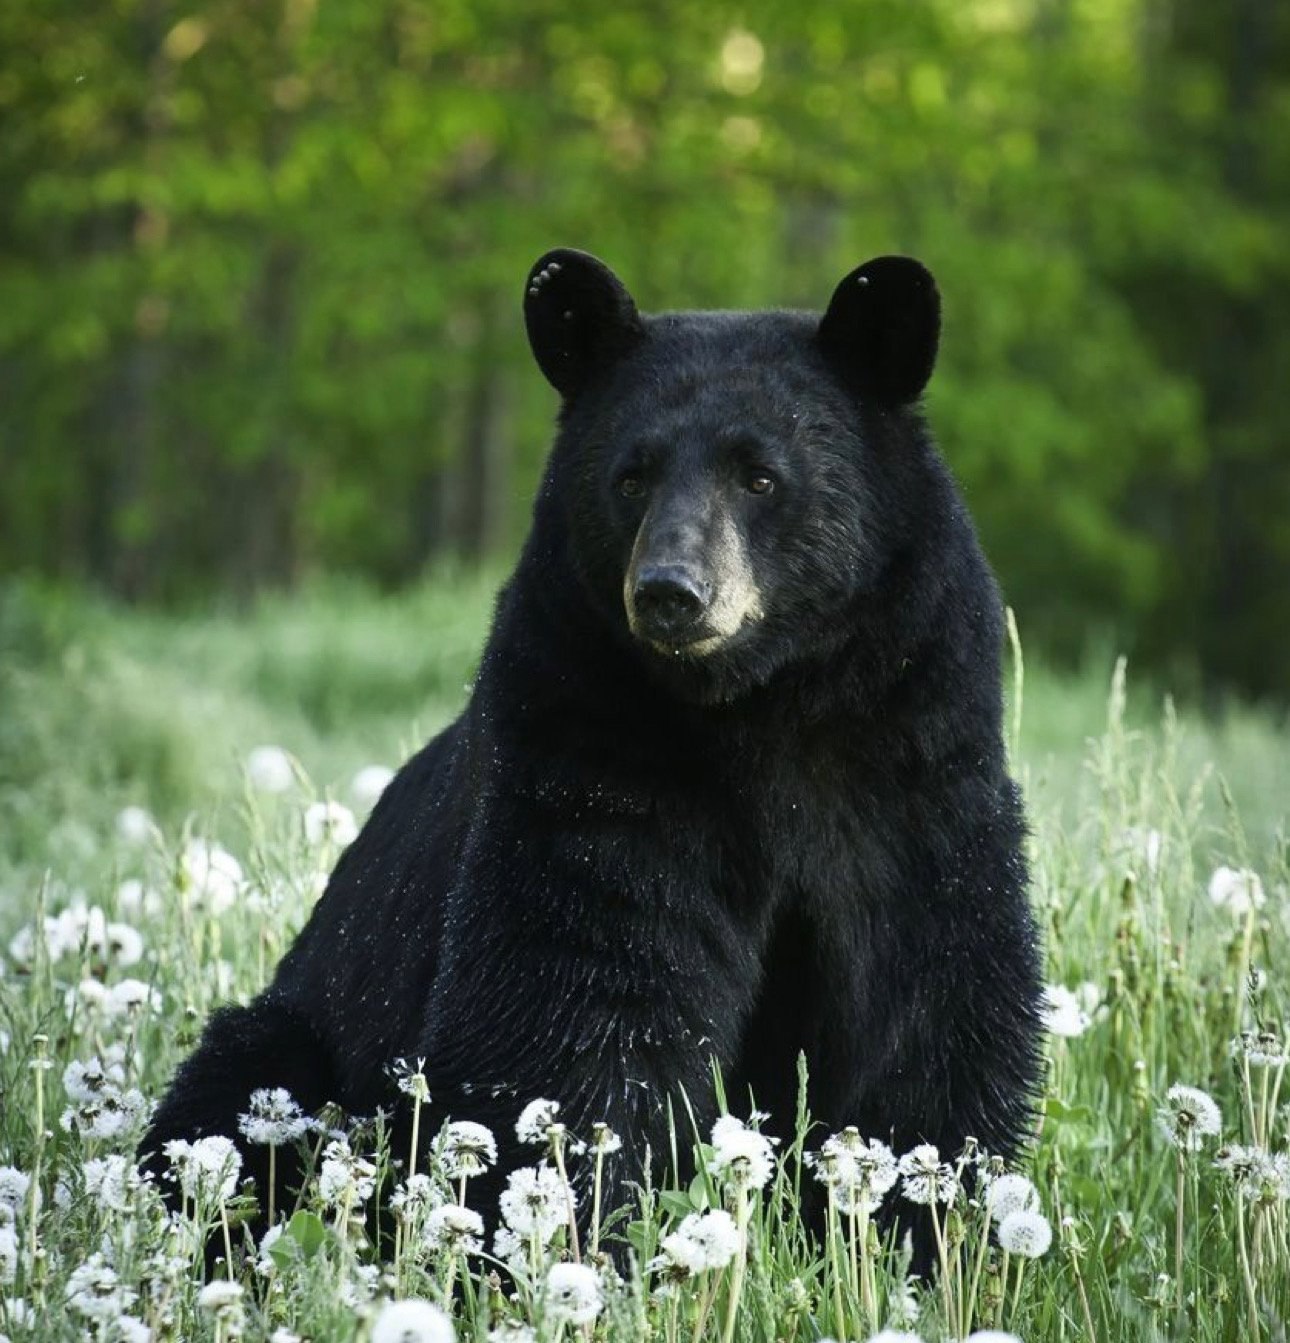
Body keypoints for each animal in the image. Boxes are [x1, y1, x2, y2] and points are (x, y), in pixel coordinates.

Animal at [143, 249, 1047, 1246]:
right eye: (631, 476)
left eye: (760, 476)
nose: (670, 593)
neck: (758, 707)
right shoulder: (592, 754)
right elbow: (584, 991)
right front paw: (572, 1234)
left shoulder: (910, 763)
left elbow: (926, 996)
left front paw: (922, 1233)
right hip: (302, 1036)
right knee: (238, 1094)